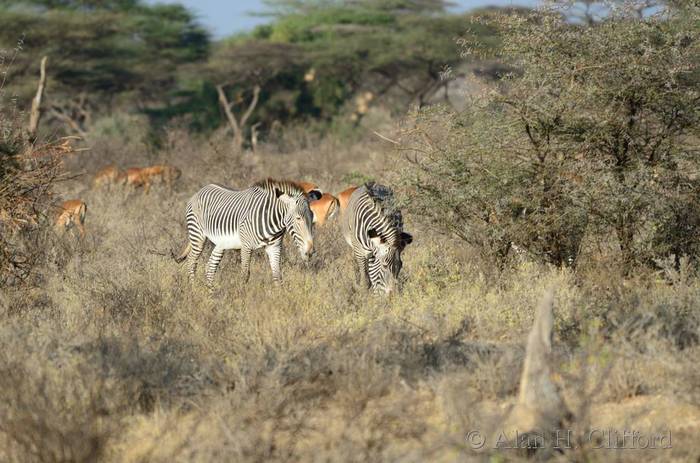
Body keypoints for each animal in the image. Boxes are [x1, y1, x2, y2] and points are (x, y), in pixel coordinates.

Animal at [174, 179, 316, 284]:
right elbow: (245, 275)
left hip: (220, 243)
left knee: (210, 267)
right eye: (298, 218)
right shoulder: (246, 246)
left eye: (312, 216)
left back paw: (210, 293)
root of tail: (201, 189)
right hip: (197, 235)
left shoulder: (274, 247)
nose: (310, 252)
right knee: (192, 262)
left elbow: (277, 276)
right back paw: (193, 290)